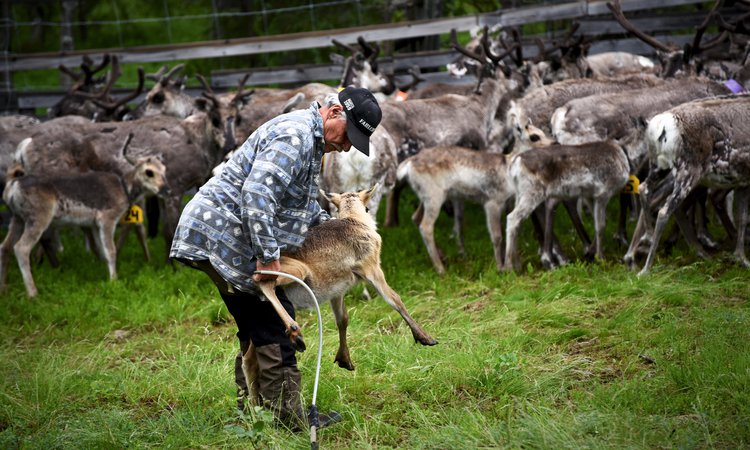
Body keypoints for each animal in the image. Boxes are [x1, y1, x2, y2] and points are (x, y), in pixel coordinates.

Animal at [1, 155, 169, 298]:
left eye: (164, 169)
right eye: (149, 172)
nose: (166, 189)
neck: (124, 190)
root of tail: (12, 187)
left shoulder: (94, 224)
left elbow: (101, 250)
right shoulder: (107, 218)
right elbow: (111, 250)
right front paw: (114, 280)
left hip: (17, 218)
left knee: (5, 246)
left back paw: (5, 288)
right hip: (38, 216)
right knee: (21, 247)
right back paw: (33, 293)